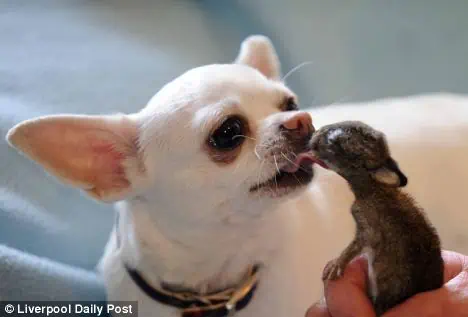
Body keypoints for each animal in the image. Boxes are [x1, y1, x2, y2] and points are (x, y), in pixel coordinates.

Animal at [308, 120, 444, 314]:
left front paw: (335, 267)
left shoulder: (369, 230)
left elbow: (354, 247)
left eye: (335, 142)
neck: (372, 187)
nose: (313, 135)